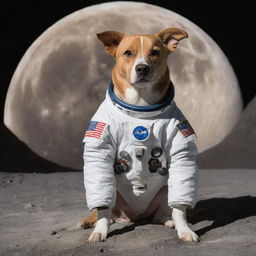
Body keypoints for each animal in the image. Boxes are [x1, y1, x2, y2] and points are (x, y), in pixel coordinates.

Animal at [81, 27, 199, 242]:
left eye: (155, 52)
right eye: (128, 53)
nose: (142, 68)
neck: (140, 105)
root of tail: (136, 216)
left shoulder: (180, 140)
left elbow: (180, 208)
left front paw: (184, 230)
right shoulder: (99, 143)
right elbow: (102, 207)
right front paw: (99, 231)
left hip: (165, 189)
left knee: (165, 209)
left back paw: (169, 221)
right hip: (114, 191)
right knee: (108, 209)